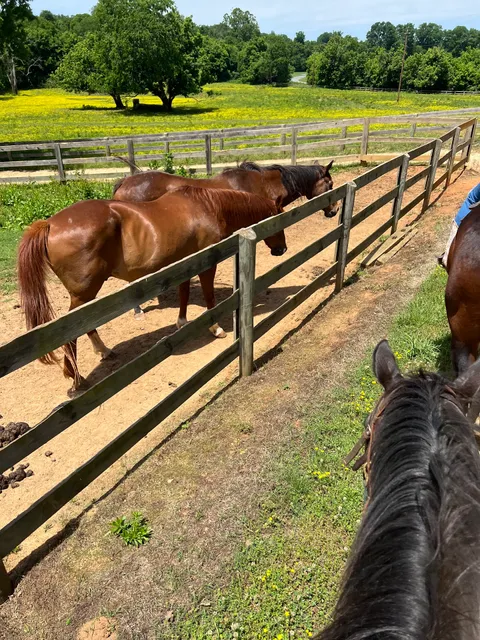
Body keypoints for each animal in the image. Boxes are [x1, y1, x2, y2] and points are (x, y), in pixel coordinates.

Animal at [17, 186, 287, 396]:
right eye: (277, 218)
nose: (281, 249)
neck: (208, 207)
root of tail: (49, 224)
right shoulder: (207, 263)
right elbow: (209, 296)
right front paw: (216, 328)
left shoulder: (185, 263)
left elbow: (184, 293)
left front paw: (181, 323)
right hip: (83, 294)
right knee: (70, 334)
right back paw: (76, 378)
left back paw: (103, 352)